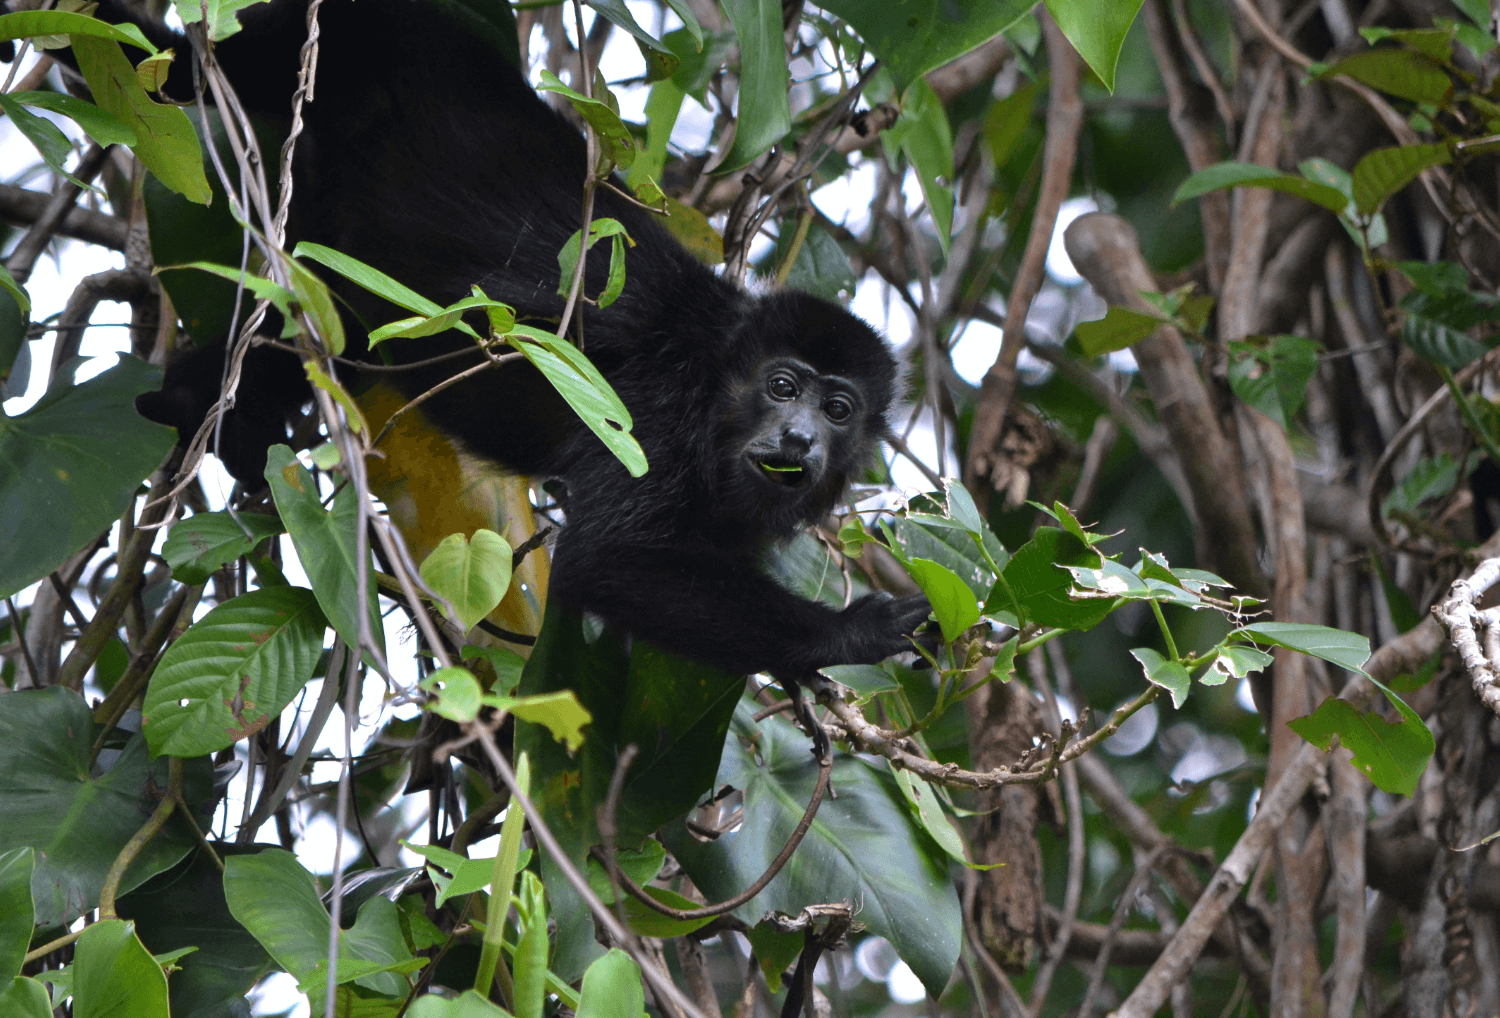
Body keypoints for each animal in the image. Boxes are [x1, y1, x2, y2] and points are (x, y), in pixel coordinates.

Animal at [105, 0, 924, 683]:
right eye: (783, 386)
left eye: (839, 409)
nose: (800, 436)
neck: (716, 379)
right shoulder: (656, 417)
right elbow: (609, 559)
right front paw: (848, 634)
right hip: (343, 40)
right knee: (188, 68)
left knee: (318, 321)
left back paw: (207, 405)